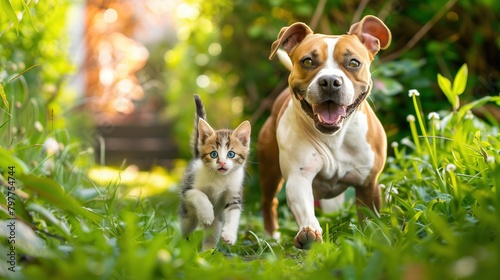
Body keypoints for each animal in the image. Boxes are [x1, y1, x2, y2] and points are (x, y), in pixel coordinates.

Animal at [179, 95, 252, 250]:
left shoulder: (234, 194)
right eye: (214, 154)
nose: (222, 163)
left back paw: (207, 252)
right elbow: (199, 194)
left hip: (216, 224)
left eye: (231, 154)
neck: (220, 178)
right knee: (185, 228)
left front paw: (230, 235)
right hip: (187, 215)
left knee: (211, 234)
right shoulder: (187, 190)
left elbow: (234, 212)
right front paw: (206, 213)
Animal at [258, 15, 390, 248]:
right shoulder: (298, 177)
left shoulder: (368, 183)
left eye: (353, 62)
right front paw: (309, 232)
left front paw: (375, 237)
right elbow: (303, 206)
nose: (329, 81)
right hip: (269, 170)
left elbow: (370, 217)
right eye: (307, 61)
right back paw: (271, 236)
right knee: (269, 201)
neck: (335, 136)